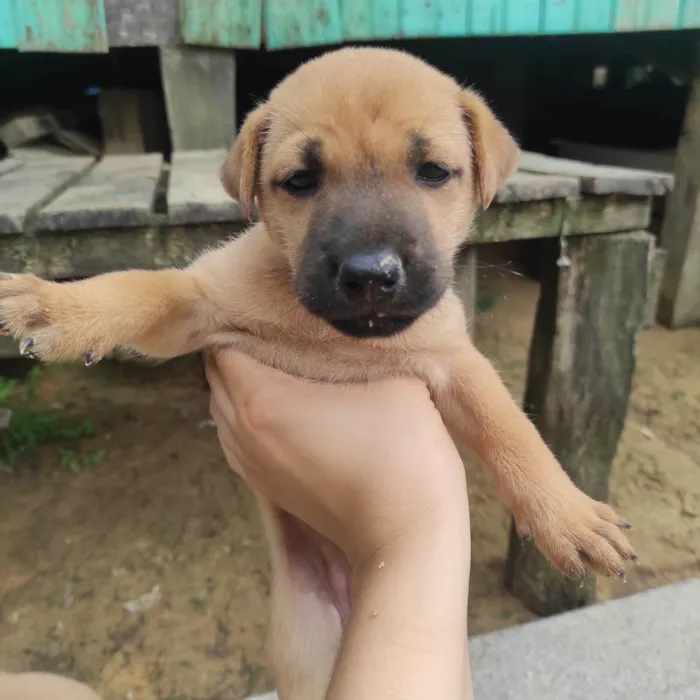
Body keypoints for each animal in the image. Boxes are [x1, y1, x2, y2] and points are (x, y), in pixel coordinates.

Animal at [0, 49, 636, 700]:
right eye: (300, 181)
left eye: (434, 171)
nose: (371, 274)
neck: (332, 336)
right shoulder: (199, 307)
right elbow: (134, 288)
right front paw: (57, 306)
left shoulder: (455, 361)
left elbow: (512, 430)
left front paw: (568, 514)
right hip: (303, 653)